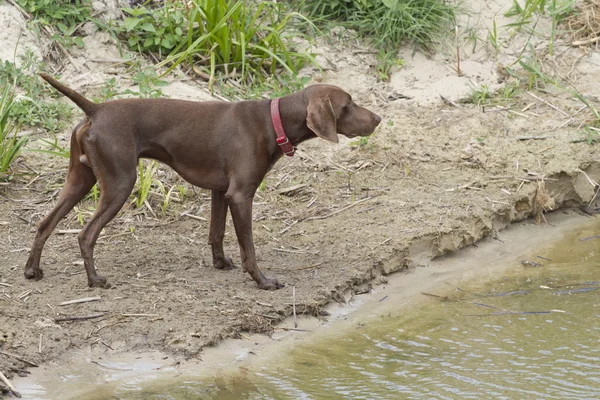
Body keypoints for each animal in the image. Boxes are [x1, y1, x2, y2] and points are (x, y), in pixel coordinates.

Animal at [25, 73, 382, 290]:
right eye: (349, 104)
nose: (379, 119)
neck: (273, 121)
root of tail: (95, 109)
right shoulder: (241, 195)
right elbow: (249, 247)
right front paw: (262, 280)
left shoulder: (221, 191)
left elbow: (216, 233)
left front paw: (220, 263)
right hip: (119, 183)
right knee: (86, 234)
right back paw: (95, 279)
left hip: (80, 180)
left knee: (44, 224)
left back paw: (32, 270)